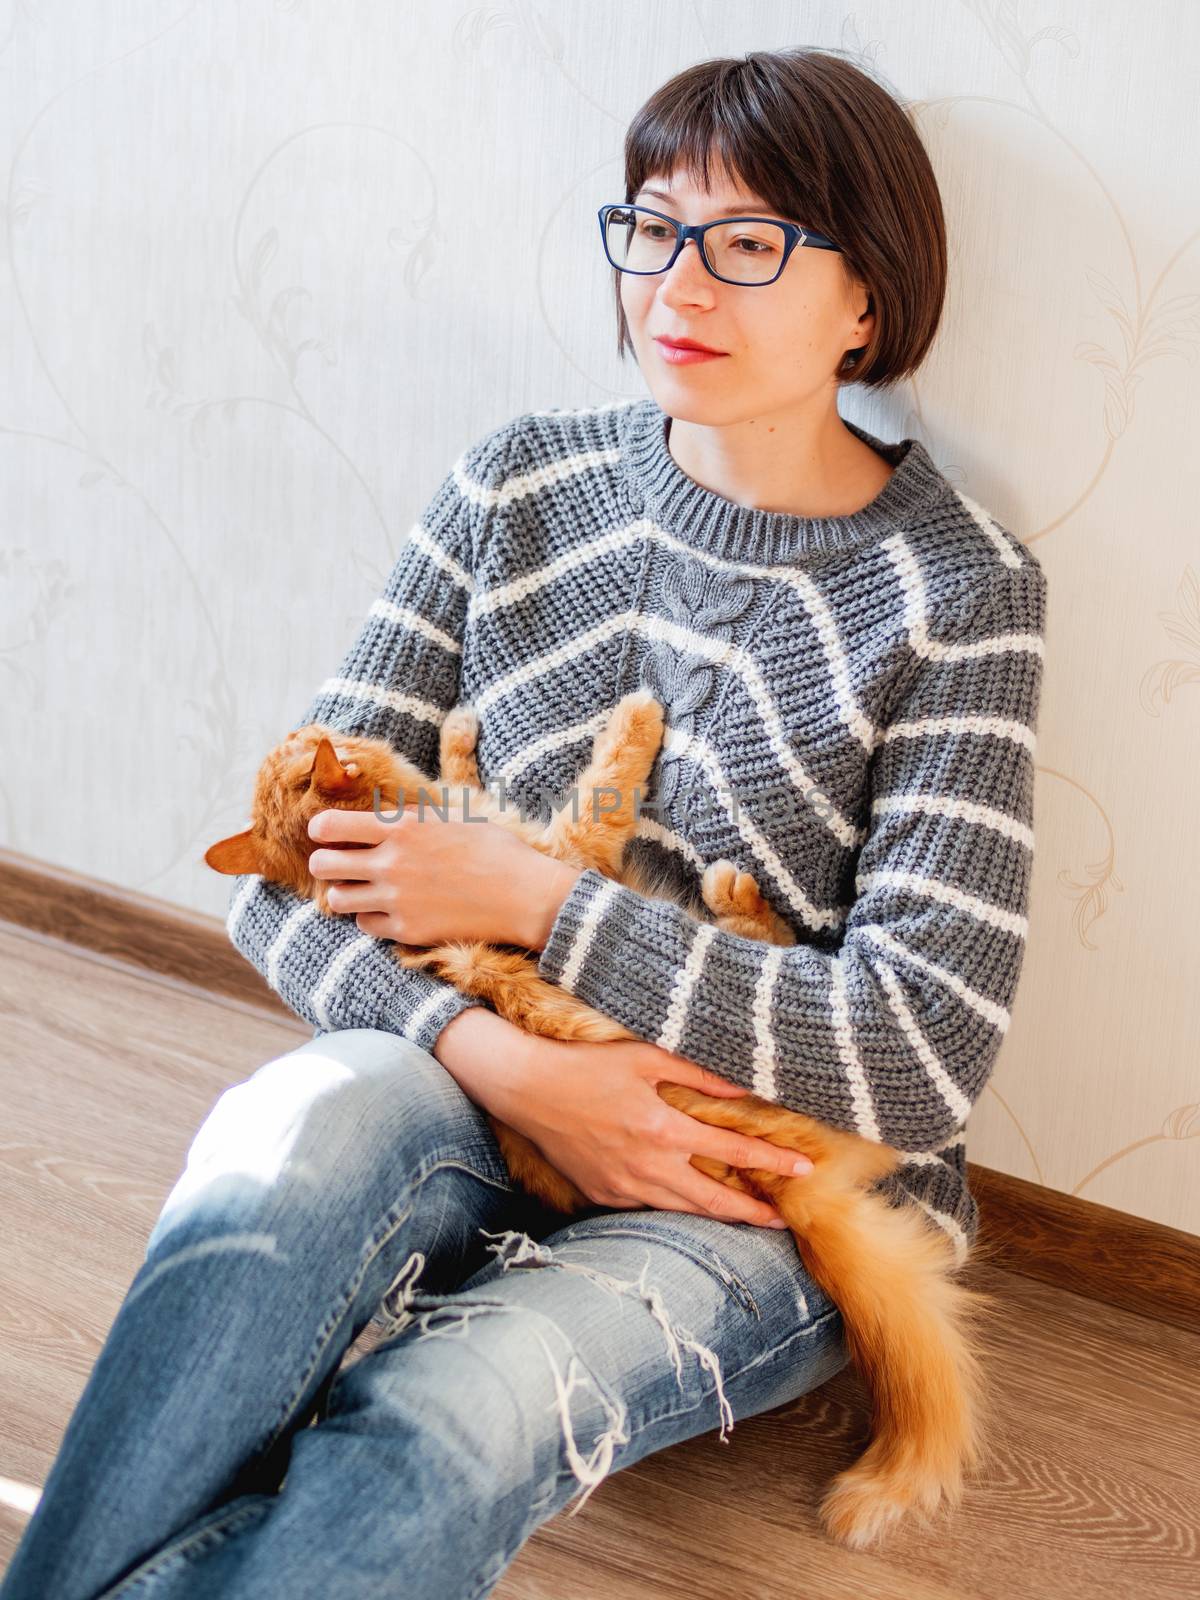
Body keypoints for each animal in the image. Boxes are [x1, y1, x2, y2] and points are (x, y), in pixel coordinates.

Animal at [209, 691, 1004, 1548]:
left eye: (299, 743)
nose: (308, 721)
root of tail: (790, 1188)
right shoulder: (569, 852)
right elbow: (604, 779)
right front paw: (636, 720)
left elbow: (466, 769)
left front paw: (457, 734)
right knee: (768, 951)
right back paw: (734, 893)